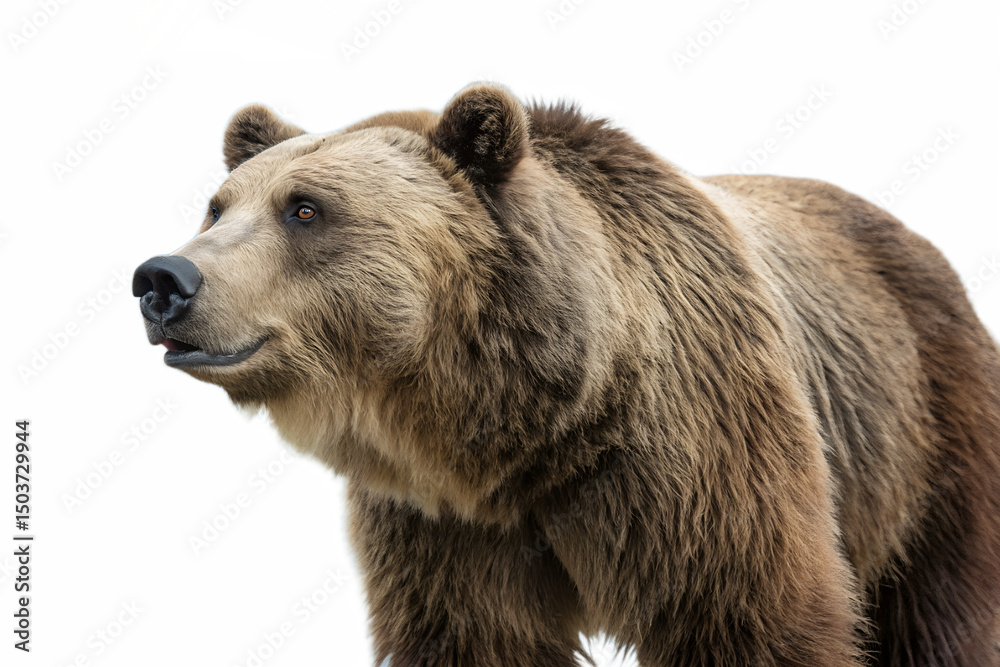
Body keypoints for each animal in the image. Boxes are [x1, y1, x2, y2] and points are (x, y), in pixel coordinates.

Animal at [133, 84, 1000, 666]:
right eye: (219, 205)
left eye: (306, 208)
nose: (163, 279)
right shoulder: (446, 525)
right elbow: (472, 634)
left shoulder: (698, 462)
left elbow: (747, 616)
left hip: (920, 433)